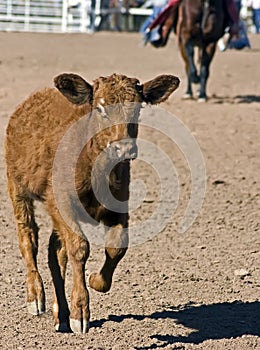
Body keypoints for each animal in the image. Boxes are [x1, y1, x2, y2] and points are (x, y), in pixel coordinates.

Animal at [5, 73, 180, 334]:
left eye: (138, 109)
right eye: (100, 109)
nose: (124, 148)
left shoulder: (119, 206)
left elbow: (117, 246)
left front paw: (96, 282)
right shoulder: (63, 204)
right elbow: (79, 249)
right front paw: (80, 312)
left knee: (55, 251)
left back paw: (60, 313)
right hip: (17, 187)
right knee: (28, 238)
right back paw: (35, 297)